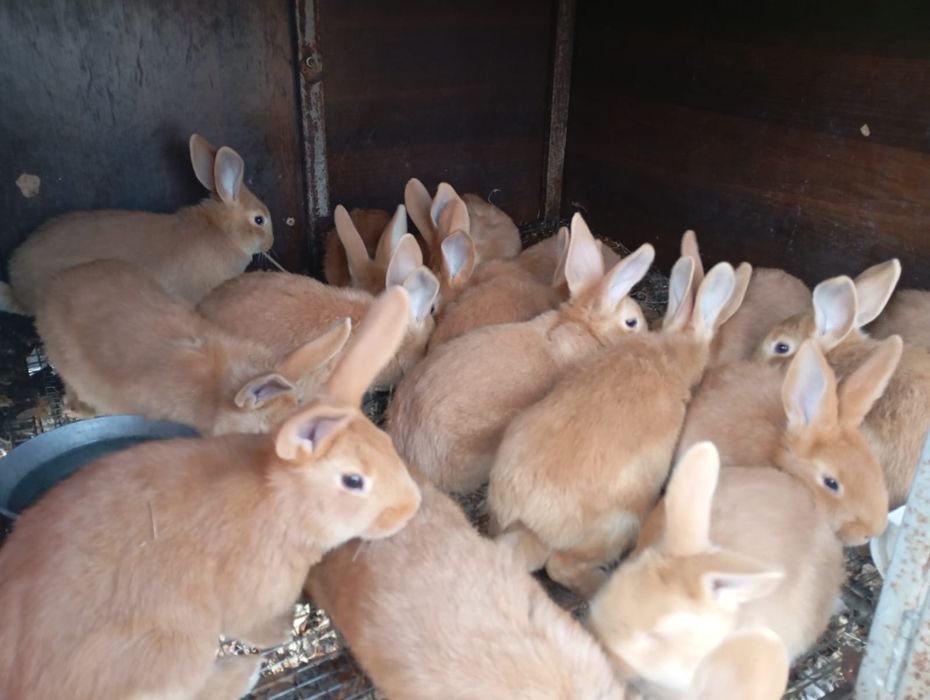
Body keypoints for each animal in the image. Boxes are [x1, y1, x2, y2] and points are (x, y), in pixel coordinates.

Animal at [0, 286, 421, 700]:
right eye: (354, 481)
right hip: (178, 641)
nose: (411, 507)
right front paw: (281, 631)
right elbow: (254, 625)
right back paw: (244, 673)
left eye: (385, 441)